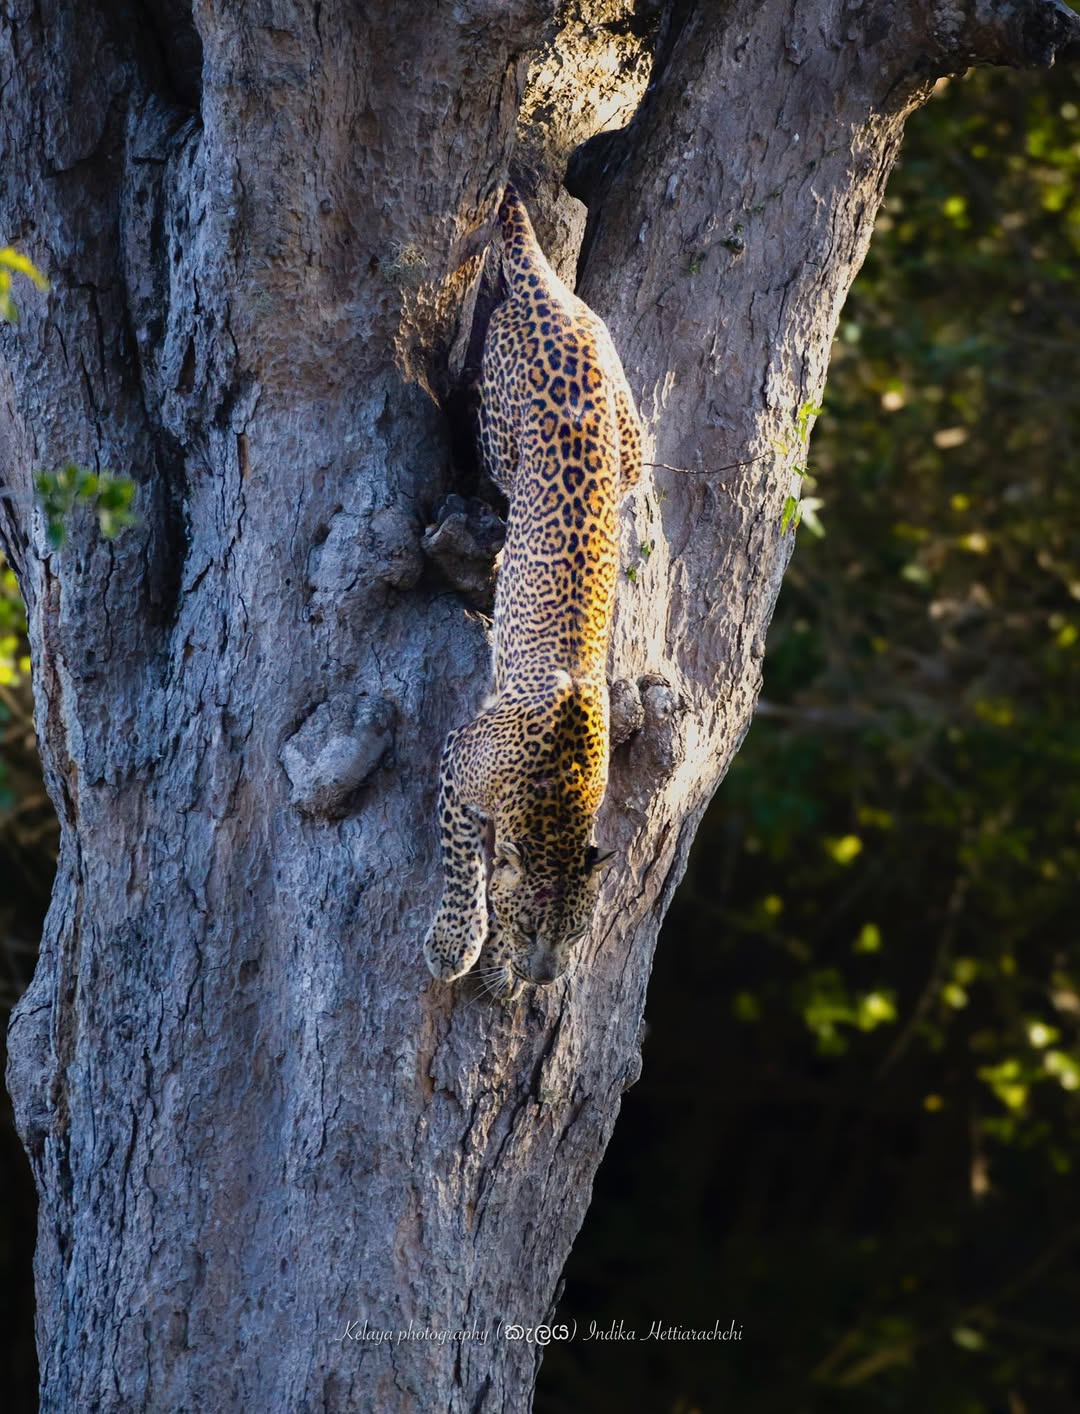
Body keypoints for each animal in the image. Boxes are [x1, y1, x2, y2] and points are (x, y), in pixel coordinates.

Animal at [424, 182, 642, 1001]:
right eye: (529, 928)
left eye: (575, 934)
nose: (547, 979)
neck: (558, 802)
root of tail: (553, 299)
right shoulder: (458, 758)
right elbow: (465, 862)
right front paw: (459, 942)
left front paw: (500, 976)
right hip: (501, 432)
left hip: (627, 430)